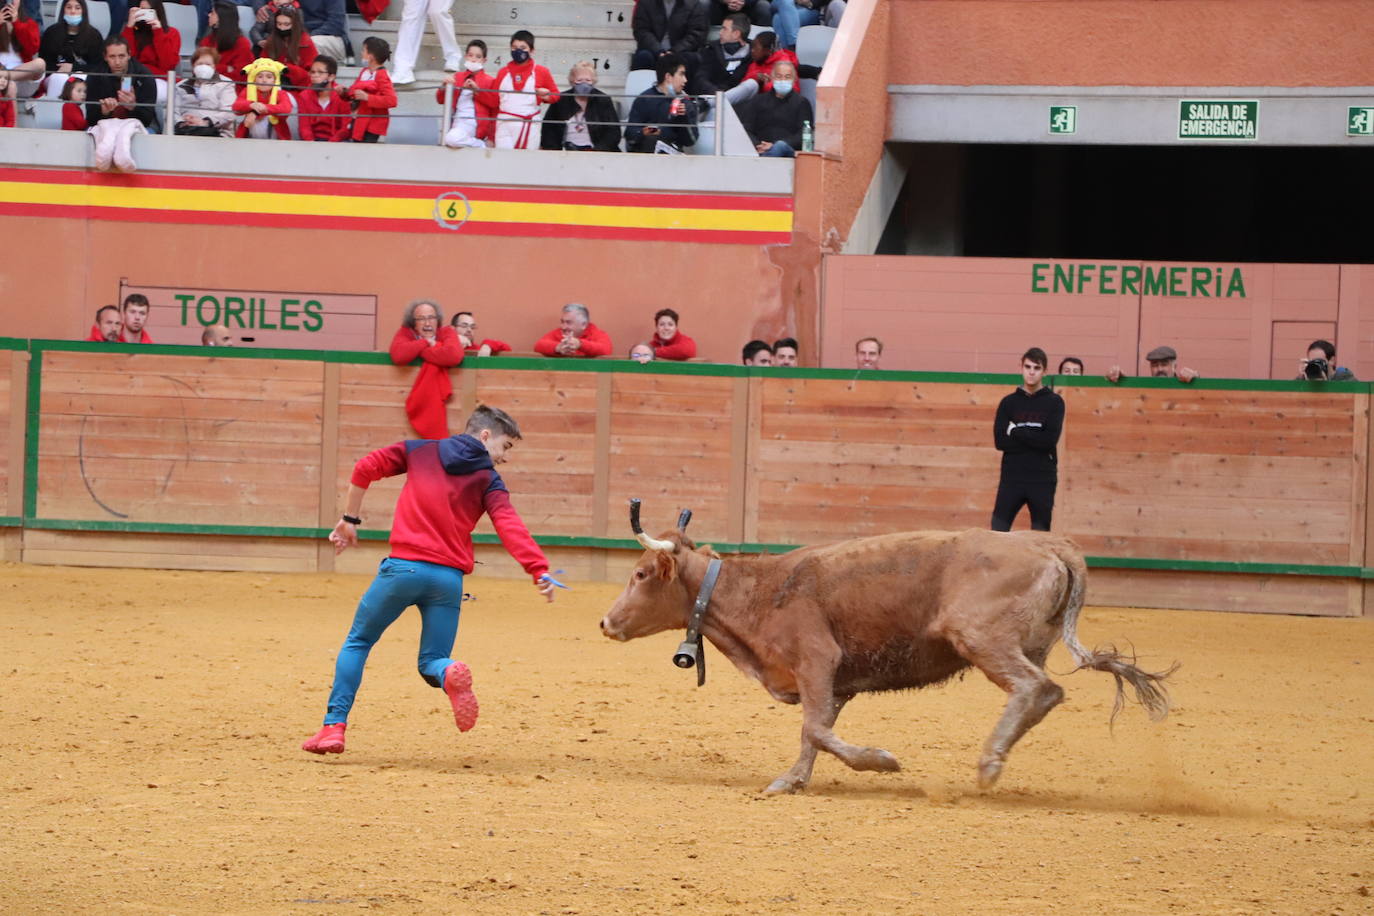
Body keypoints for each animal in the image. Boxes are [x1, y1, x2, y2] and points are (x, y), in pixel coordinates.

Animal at [596, 505, 1176, 796]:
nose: (605, 621)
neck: (758, 591)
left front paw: (880, 761)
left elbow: (814, 728)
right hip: (1024, 644)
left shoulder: (817, 661)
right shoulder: (832, 683)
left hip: (980, 637)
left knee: (1035, 688)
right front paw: (793, 780)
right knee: (1045, 694)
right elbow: (814, 731)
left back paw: (989, 763)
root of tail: (1047, 544)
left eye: (641, 574)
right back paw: (1001, 755)